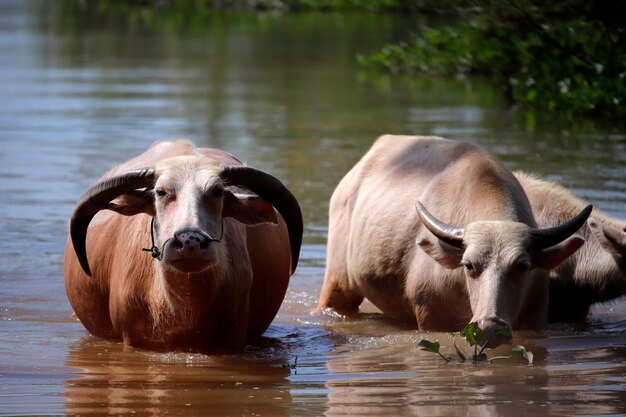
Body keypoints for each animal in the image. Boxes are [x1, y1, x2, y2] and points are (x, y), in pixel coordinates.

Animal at [316, 135, 588, 346]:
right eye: (468, 265)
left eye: (522, 266)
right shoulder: (431, 318)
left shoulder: (536, 317)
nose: (489, 328)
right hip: (338, 284)